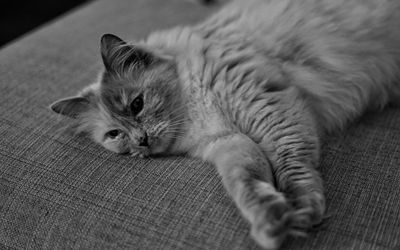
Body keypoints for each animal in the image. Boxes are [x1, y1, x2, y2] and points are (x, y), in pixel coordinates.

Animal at [49, 0, 400, 249]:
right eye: (115, 135)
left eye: (137, 104)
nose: (141, 141)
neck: (196, 114)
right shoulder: (229, 142)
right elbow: (245, 182)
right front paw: (270, 220)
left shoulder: (267, 108)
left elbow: (293, 167)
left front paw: (301, 211)